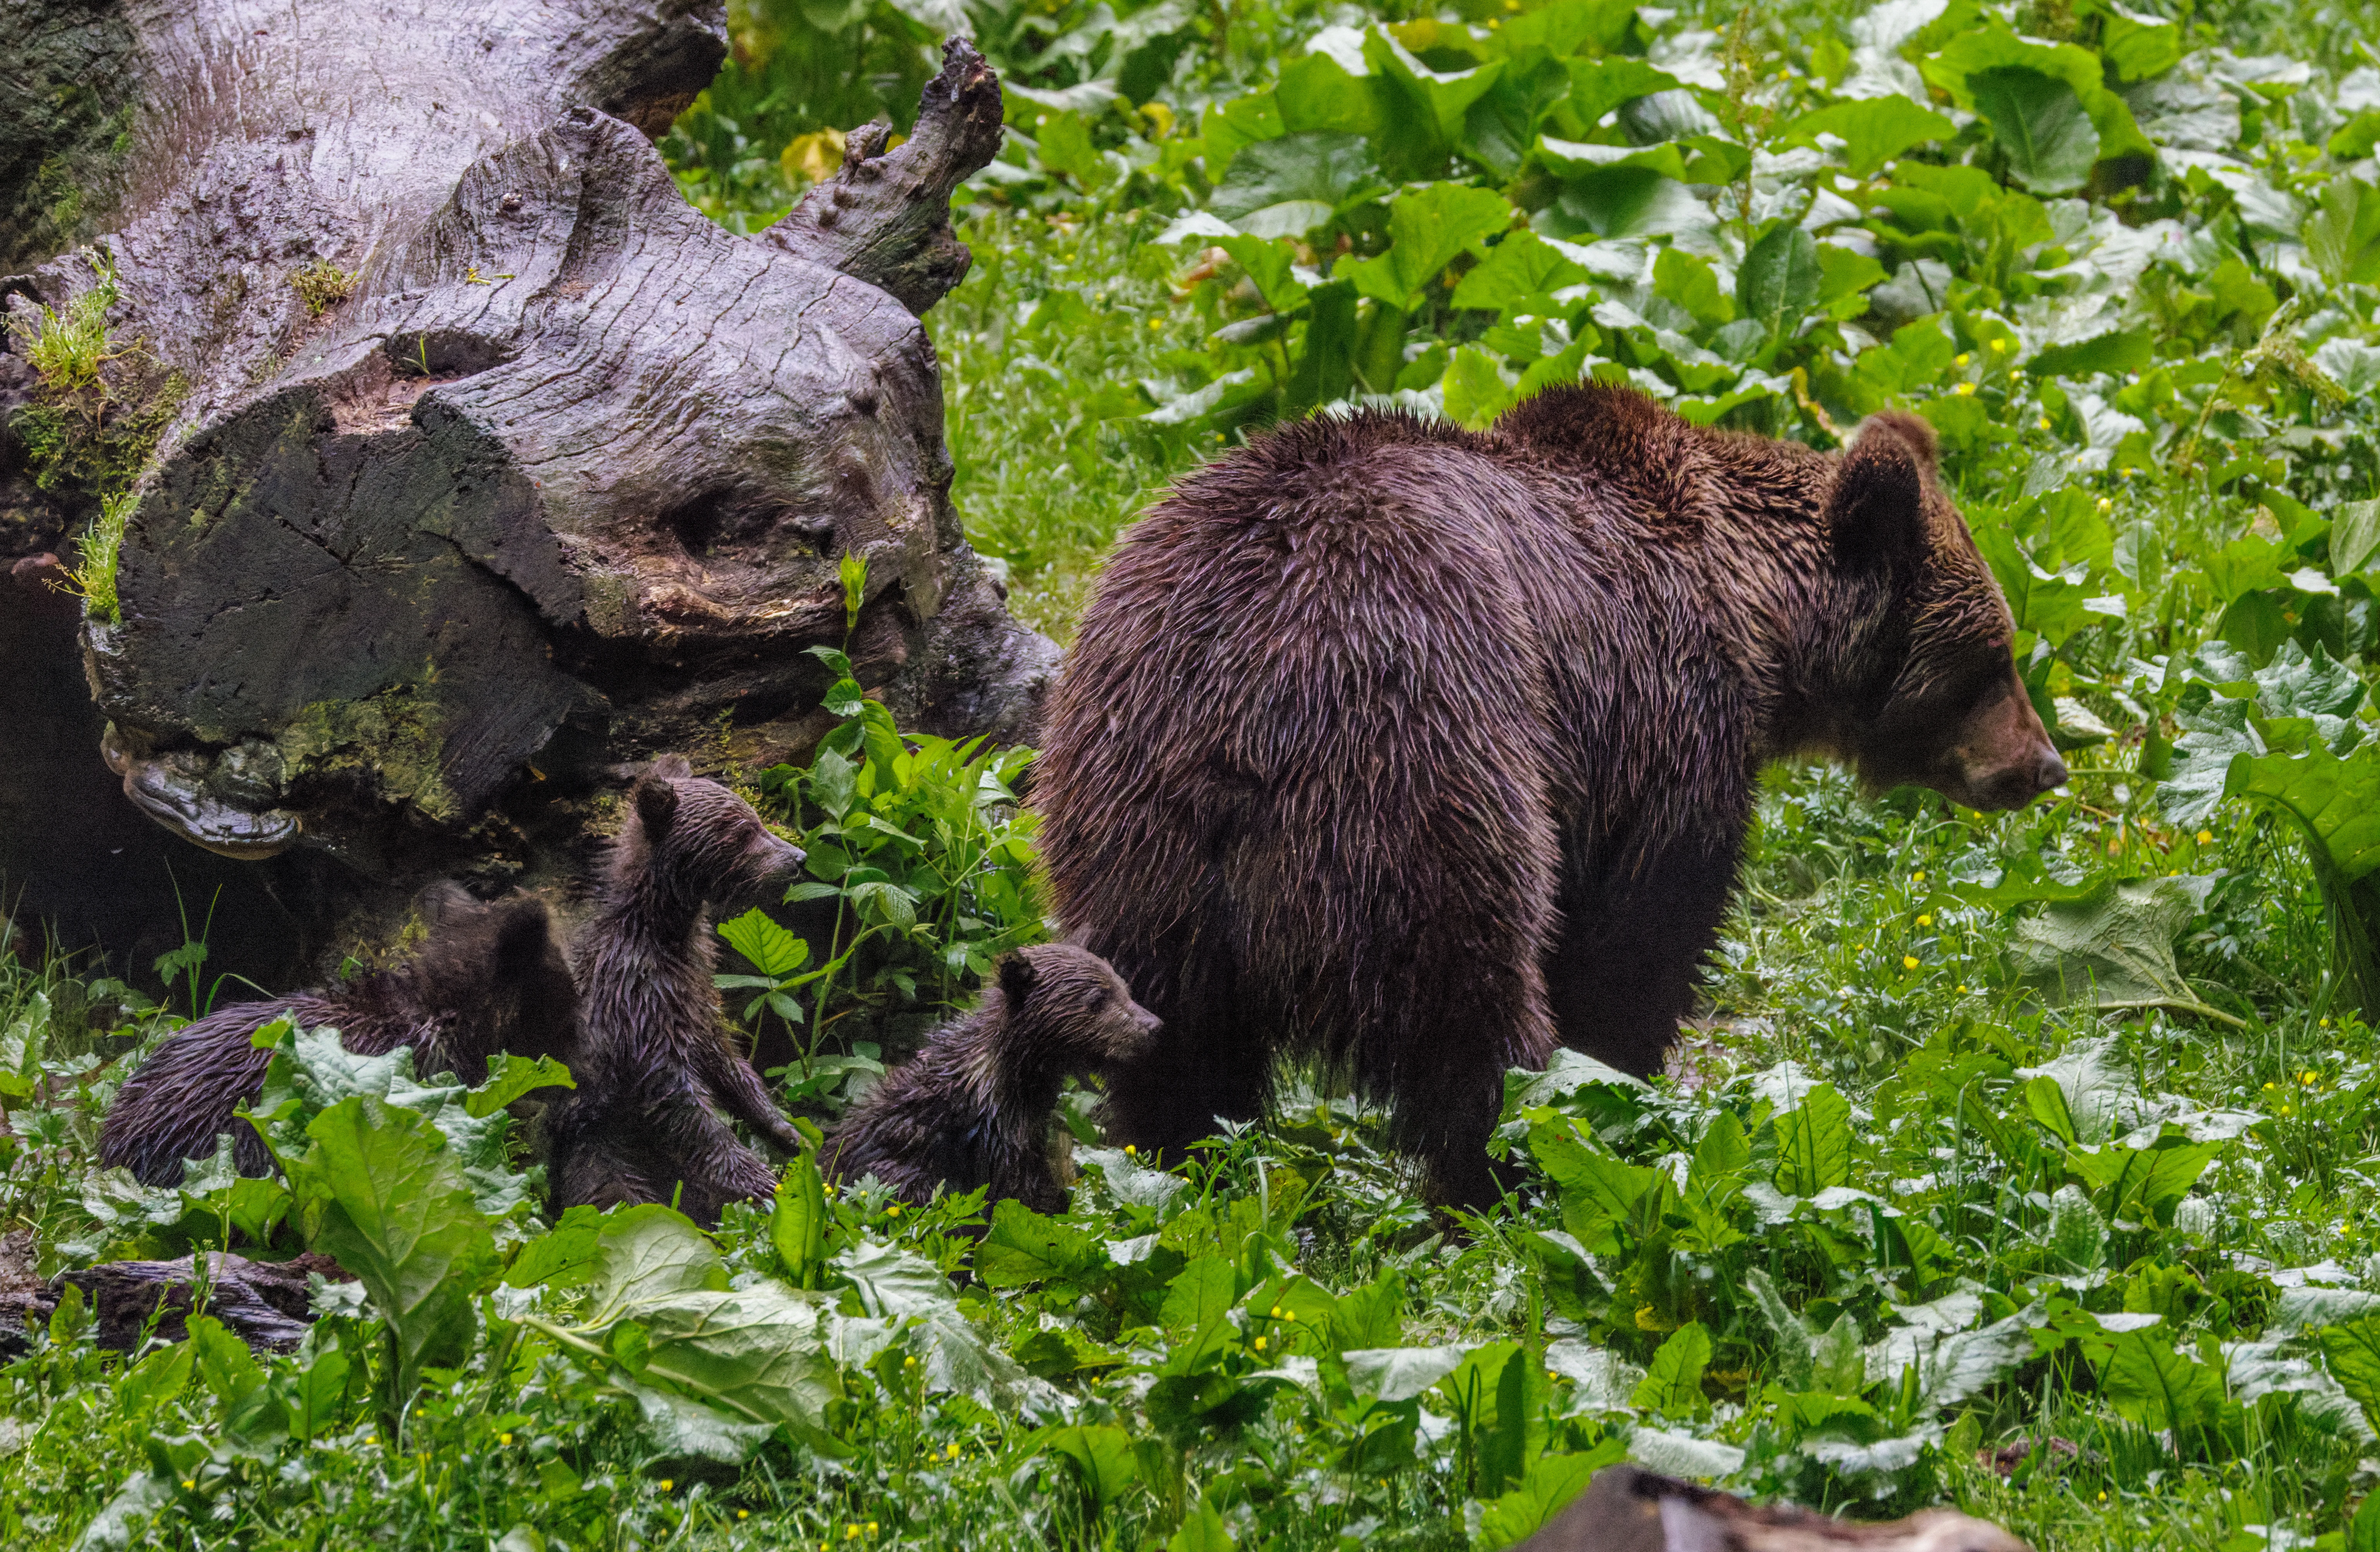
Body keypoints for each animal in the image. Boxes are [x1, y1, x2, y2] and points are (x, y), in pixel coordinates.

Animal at [544, 754, 810, 1226]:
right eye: (742, 830)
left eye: (757, 819)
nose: (798, 857)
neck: (665, 934)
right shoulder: (634, 1004)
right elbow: (680, 1104)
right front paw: (762, 1180)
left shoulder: (697, 990)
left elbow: (729, 1064)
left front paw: (789, 1131)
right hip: (599, 1147)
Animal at [1032, 386, 2066, 1207]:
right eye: (1994, 658)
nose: (2044, 765)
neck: (1756, 615)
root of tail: (1236, 714)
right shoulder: (1658, 725)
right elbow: (1637, 940)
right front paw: (1624, 1083)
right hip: (1419, 765)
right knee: (1468, 1007)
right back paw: (1510, 1170)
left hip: (1129, 823)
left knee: (1174, 1039)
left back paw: (1181, 1162)